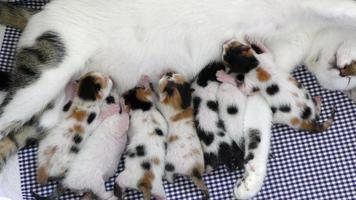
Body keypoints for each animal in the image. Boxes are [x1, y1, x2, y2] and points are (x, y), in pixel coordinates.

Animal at [0, 0, 356, 198]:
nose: (344, 72)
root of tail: (39, 14)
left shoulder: (267, 71)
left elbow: (258, 122)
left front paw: (252, 176)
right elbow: (344, 8)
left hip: (50, 105)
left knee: (12, 133)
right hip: (48, 71)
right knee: (5, 113)